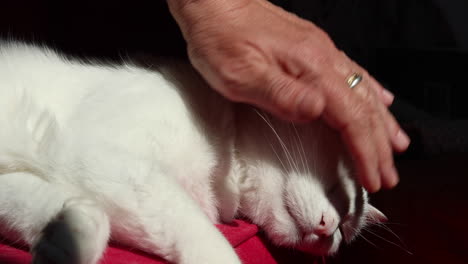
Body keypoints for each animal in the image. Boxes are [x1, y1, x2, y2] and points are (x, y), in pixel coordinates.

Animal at [0, 43, 386, 264]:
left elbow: (44, 203)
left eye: (344, 233)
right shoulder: (103, 156)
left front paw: (64, 238)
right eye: (337, 191)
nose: (328, 231)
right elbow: (201, 234)